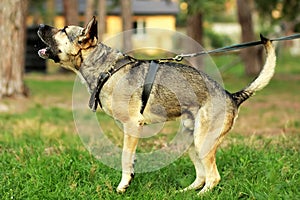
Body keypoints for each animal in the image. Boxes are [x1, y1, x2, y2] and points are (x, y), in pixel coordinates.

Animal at [37, 16, 276, 195]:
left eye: (63, 30)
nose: (39, 26)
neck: (108, 70)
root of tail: (232, 96)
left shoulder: (132, 125)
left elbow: (124, 158)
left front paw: (123, 185)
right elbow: (130, 158)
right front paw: (130, 179)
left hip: (203, 142)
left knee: (213, 177)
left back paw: (201, 195)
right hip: (190, 142)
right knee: (201, 176)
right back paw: (185, 192)